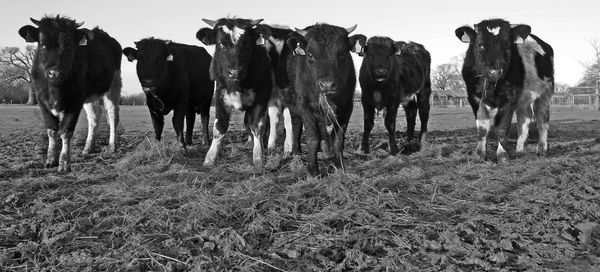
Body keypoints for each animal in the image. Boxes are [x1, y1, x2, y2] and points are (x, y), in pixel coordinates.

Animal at [19, 15, 122, 172]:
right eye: (42, 43)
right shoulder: (42, 101)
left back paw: (111, 146)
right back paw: (88, 148)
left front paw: (64, 163)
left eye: (69, 45)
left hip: (114, 84)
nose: (54, 72)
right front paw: (50, 160)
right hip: (90, 95)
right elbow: (52, 130)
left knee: (112, 115)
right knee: (94, 117)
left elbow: (66, 131)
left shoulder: (75, 102)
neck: (55, 90)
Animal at [196, 18, 274, 166]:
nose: (235, 71)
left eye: (247, 44)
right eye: (220, 43)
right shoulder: (220, 96)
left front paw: (258, 156)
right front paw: (210, 158)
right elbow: (219, 127)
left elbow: (257, 126)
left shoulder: (261, 99)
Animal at [284, 23, 364, 176]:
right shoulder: (305, 107)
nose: (327, 85)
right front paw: (313, 171)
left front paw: (340, 168)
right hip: (293, 107)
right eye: (310, 54)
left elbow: (339, 140)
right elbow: (312, 139)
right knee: (296, 126)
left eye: (342, 53)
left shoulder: (347, 108)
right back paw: (297, 153)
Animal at [458, 19, 556, 164]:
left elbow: (502, 128)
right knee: (524, 119)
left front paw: (502, 155)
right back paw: (520, 151)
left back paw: (541, 150)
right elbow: (482, 129)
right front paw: (479, 155)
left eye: (506, 44)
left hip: (546, 91)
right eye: (480, 44)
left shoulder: (510, 97)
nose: (495, 71)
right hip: (524, 98)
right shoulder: (474, 97)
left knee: (542, 119)